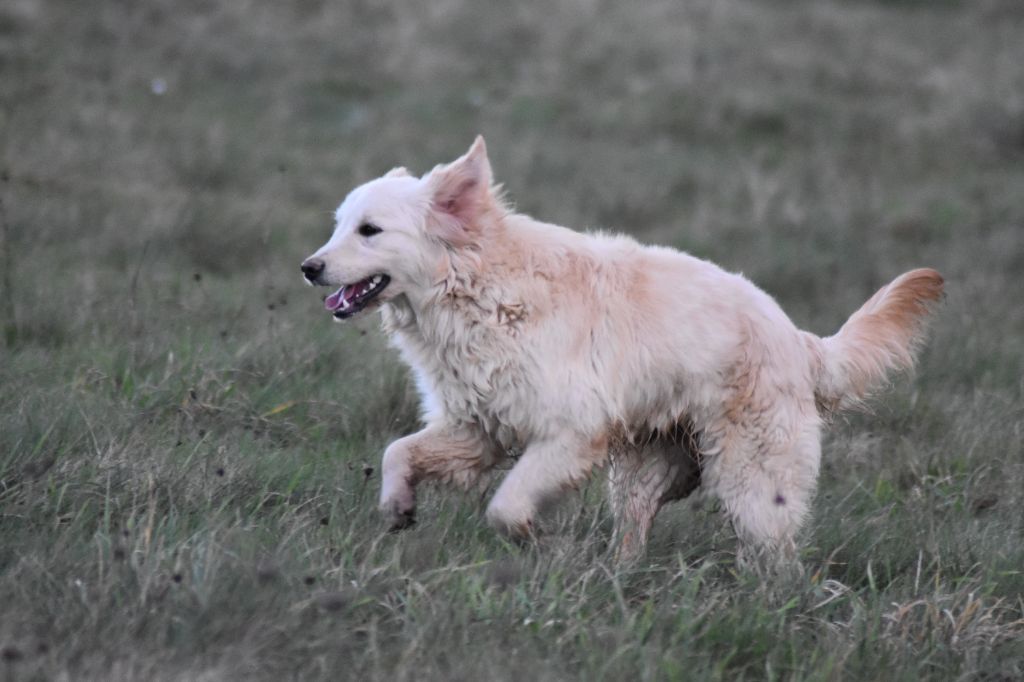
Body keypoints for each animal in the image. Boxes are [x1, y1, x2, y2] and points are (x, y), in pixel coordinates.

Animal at [299, 137, 942, 569]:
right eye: (339, 225)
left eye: (370, 230)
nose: (308, 267)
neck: (480, 288)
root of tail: (802, 341)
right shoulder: (477, 427)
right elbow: (398, 452)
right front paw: (397, 507)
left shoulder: (570, 432)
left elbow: (505, 506)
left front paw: (540, 542)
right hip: (642, 472)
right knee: (635, 535)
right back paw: (619, 577)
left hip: (755, 479)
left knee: (775, 555)